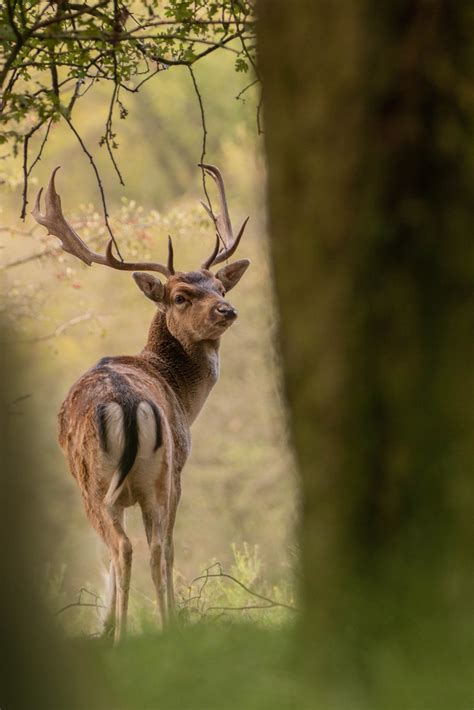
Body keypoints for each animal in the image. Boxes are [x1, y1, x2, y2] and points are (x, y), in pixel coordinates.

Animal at [31, 167, 250, 644]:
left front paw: (113, 624)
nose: (227, 309)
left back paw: (133, 633)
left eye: (218, 285)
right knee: (149, 547)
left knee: (130, 547)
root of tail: (128, 404)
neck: (183, 398)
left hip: (104, 484)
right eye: (180, 296)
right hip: (150, 477)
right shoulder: (180, 464)